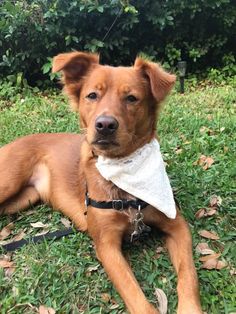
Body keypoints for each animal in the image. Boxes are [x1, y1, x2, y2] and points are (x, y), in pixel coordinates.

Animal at [0, 52, 203, 312]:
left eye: (131, 98)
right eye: (92, 95)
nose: (105, 125)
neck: (123, 174)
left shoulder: (177, 225)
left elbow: (189, 273)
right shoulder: (106, 245)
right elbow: (134, 293)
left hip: (21, 199)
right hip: (8, 183)